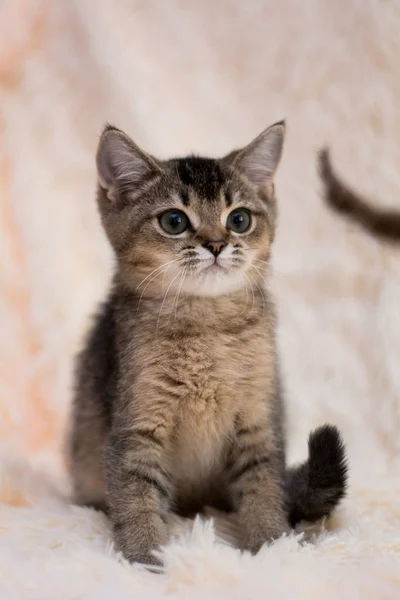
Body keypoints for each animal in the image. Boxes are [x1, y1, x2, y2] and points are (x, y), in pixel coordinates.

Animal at [66, 123, 346, 568]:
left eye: (239, 219)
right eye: (174, 221)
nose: (216, 244)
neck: (207, 328)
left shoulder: (258, 419)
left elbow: (264, 486)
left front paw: (272, 544)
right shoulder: (137, 425)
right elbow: (136, 494)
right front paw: (144, 558)